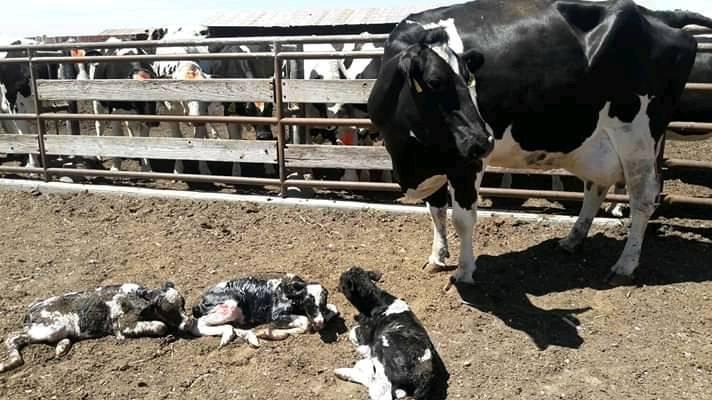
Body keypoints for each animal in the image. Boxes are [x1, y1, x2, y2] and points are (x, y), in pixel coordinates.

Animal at [0, 282, 192, 374]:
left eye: (183, 304)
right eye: (168, 311)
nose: (189, 322)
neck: (137, 298)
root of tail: (33, 307)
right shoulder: (124, 325)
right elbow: (160, 326)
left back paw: (62, 348)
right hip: (49, 327)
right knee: (12, 336)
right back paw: (10, 362)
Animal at [192, 272, 340, 346]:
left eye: (323, 303)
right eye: (308, 303)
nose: (320, 323)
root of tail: (203, 299)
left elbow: (334, 309)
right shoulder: (275, 314)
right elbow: (305, 321)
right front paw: (273, 332)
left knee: (235, 327)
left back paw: (252, 336)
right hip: (230, 307)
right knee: (199, 324)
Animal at [336, 266, 448, 400]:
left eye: (342, 278)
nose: (336, 287)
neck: (377, 302)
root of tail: (425, 375)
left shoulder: (366, 332)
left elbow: (352, 332)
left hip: (382, 356)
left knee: (379, 390)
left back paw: (342, 372)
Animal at [368, 0, 712, 288]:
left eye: (470, 79)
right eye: (435, 82)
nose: (484, 140)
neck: (410, 155)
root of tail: (657, 14)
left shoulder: (465, 162)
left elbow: (462, 218)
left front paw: (465, 271)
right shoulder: (431, 161)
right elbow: (436, 211)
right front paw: (437, 257)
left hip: (637, 135)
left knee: (643, 198)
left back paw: (624, 265)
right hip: (600, 141)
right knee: (596, 187)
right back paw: (573, 240)